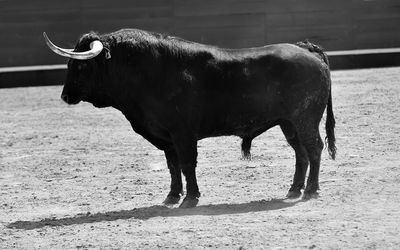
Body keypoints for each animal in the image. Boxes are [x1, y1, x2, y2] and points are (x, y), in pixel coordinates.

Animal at [45, 28, 336, 209]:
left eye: (81, 64)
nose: (65, 96)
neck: (148, 71)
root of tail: (305, 49)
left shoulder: (183, 134)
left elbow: (187, 164)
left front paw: (191, 198)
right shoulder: (166, 137)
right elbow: (173, 166)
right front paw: (172, 196)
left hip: (305, 119)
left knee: (314, 148)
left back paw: (311, 190)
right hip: (289, 123)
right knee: (301, 152)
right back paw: (294, 189)